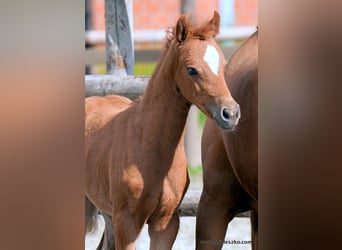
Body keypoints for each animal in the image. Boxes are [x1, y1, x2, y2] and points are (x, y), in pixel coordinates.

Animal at [85, 10, 240, 249]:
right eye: (191, 70)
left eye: (223, 66)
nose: (230, 114)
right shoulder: (127, 222)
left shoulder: (166, 222)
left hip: (107, 212)